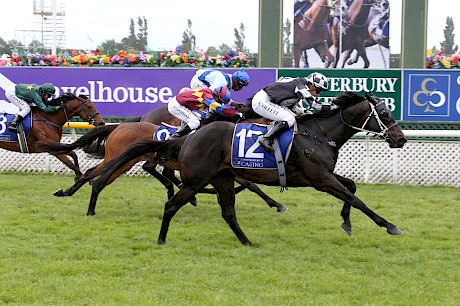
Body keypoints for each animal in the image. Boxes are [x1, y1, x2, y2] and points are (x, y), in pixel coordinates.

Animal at [92, 91, 406, 246]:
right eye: (385, 113)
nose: (400, 139)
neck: (317, 134)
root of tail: (188, 136)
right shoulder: (320, 178)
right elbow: (356, 197)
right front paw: (389, 225)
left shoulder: (322, 176)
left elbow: (351, 188)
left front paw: (346, 223)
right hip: (196, 179)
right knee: (171, 203)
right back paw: (160, 239)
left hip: (221, 178)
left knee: (227, 212)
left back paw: (247, 242)